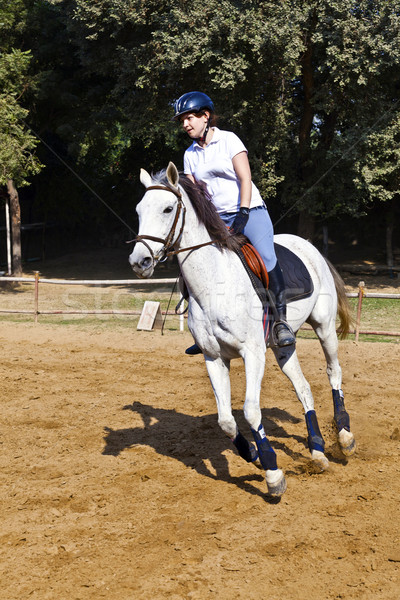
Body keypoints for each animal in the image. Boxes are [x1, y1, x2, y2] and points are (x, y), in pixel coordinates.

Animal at [130, 162, 356, 500]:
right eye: (138, 210)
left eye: (168, 209)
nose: (139, 261)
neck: (213, 283)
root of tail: (308, 246)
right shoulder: (213, 357)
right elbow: (226, 420)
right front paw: (252, 453)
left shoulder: (253, 354)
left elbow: (250, 411)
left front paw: (273, 472)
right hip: (283, 347)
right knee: (303, 387)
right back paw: (317, 452)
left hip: (324, 327)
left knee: (333, 372)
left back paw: (344, 437)